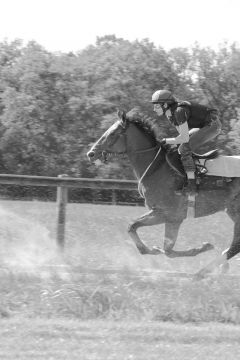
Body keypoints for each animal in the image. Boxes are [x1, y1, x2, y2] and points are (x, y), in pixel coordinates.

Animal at [86, 107, 240, 278]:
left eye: (113, 133)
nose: (91, 153)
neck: (157, 168)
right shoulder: (167, 216)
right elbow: (138, 231)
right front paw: (152, 249)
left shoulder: (169, 214)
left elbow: (165, 248)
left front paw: (205, 246)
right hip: (232, 211)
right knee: (235, 245)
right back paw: (214, 268)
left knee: (235, 245)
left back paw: (203, 272)